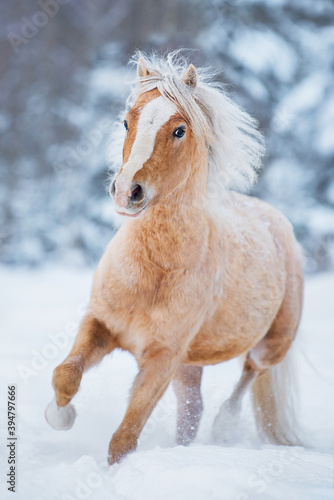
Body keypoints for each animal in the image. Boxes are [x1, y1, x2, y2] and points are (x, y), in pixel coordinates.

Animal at [45, 51, 304, 464]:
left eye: (179, 130)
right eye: (127, 120)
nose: (126, 191)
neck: (154, 271)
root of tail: (277, 222)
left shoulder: (162, 357)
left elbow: (124, 439)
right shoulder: (100, 323)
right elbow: (66, 374)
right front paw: (60, 417)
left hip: (271, 345)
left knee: (248, 376)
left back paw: (225, 427)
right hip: (189, 366)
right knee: (192, 411)